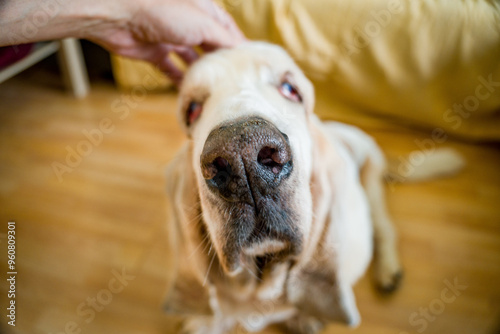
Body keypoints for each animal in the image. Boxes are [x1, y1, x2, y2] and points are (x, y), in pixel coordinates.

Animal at [163, 42, 460, 334]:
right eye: (192, 110)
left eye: (290, 89)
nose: (241, 155)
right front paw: (204, 322)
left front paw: (304, 318)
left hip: (371, 177)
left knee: (384, 229)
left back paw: (388, 271)